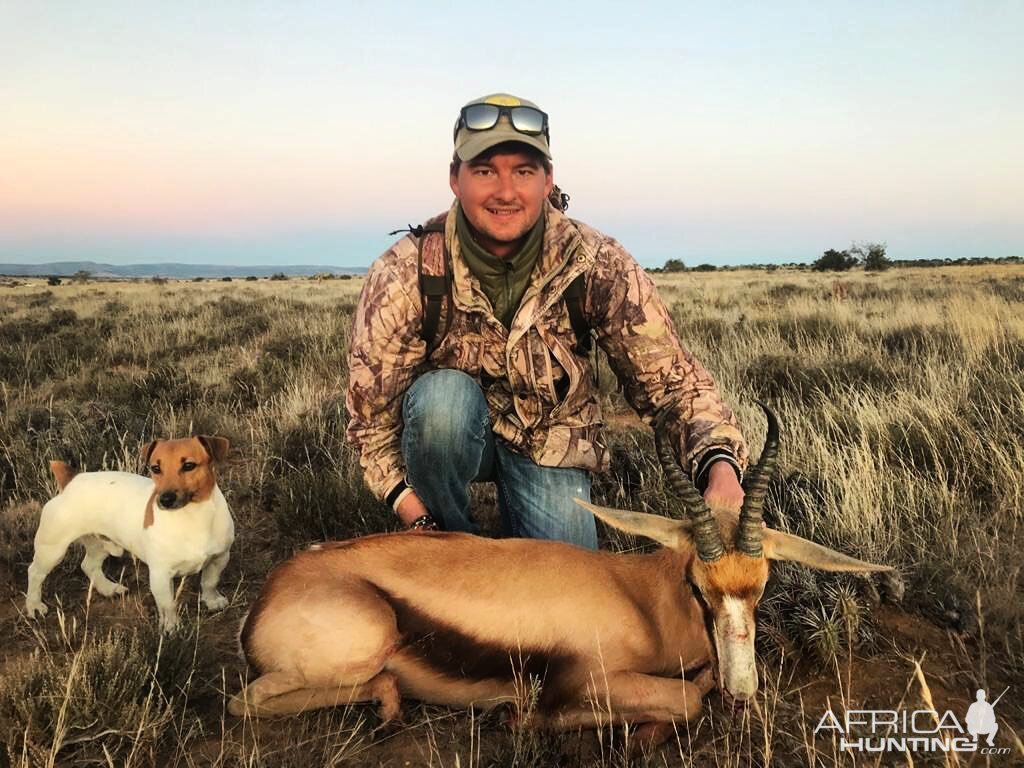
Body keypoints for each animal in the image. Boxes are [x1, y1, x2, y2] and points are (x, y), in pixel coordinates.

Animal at [26, 436, 235, 634]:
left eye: (189, 465)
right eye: (156, 468)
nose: (165, 499)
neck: (193, 517)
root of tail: (71, 480)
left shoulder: (220, 558)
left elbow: (210, 582)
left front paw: (213, 601)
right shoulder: (160, 575)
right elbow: (167, 605)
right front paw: (171, 627)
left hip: (100, 544)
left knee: (89, 565)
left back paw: (109, 589)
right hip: (52, 549)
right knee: (35, 573)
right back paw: (34, 606)